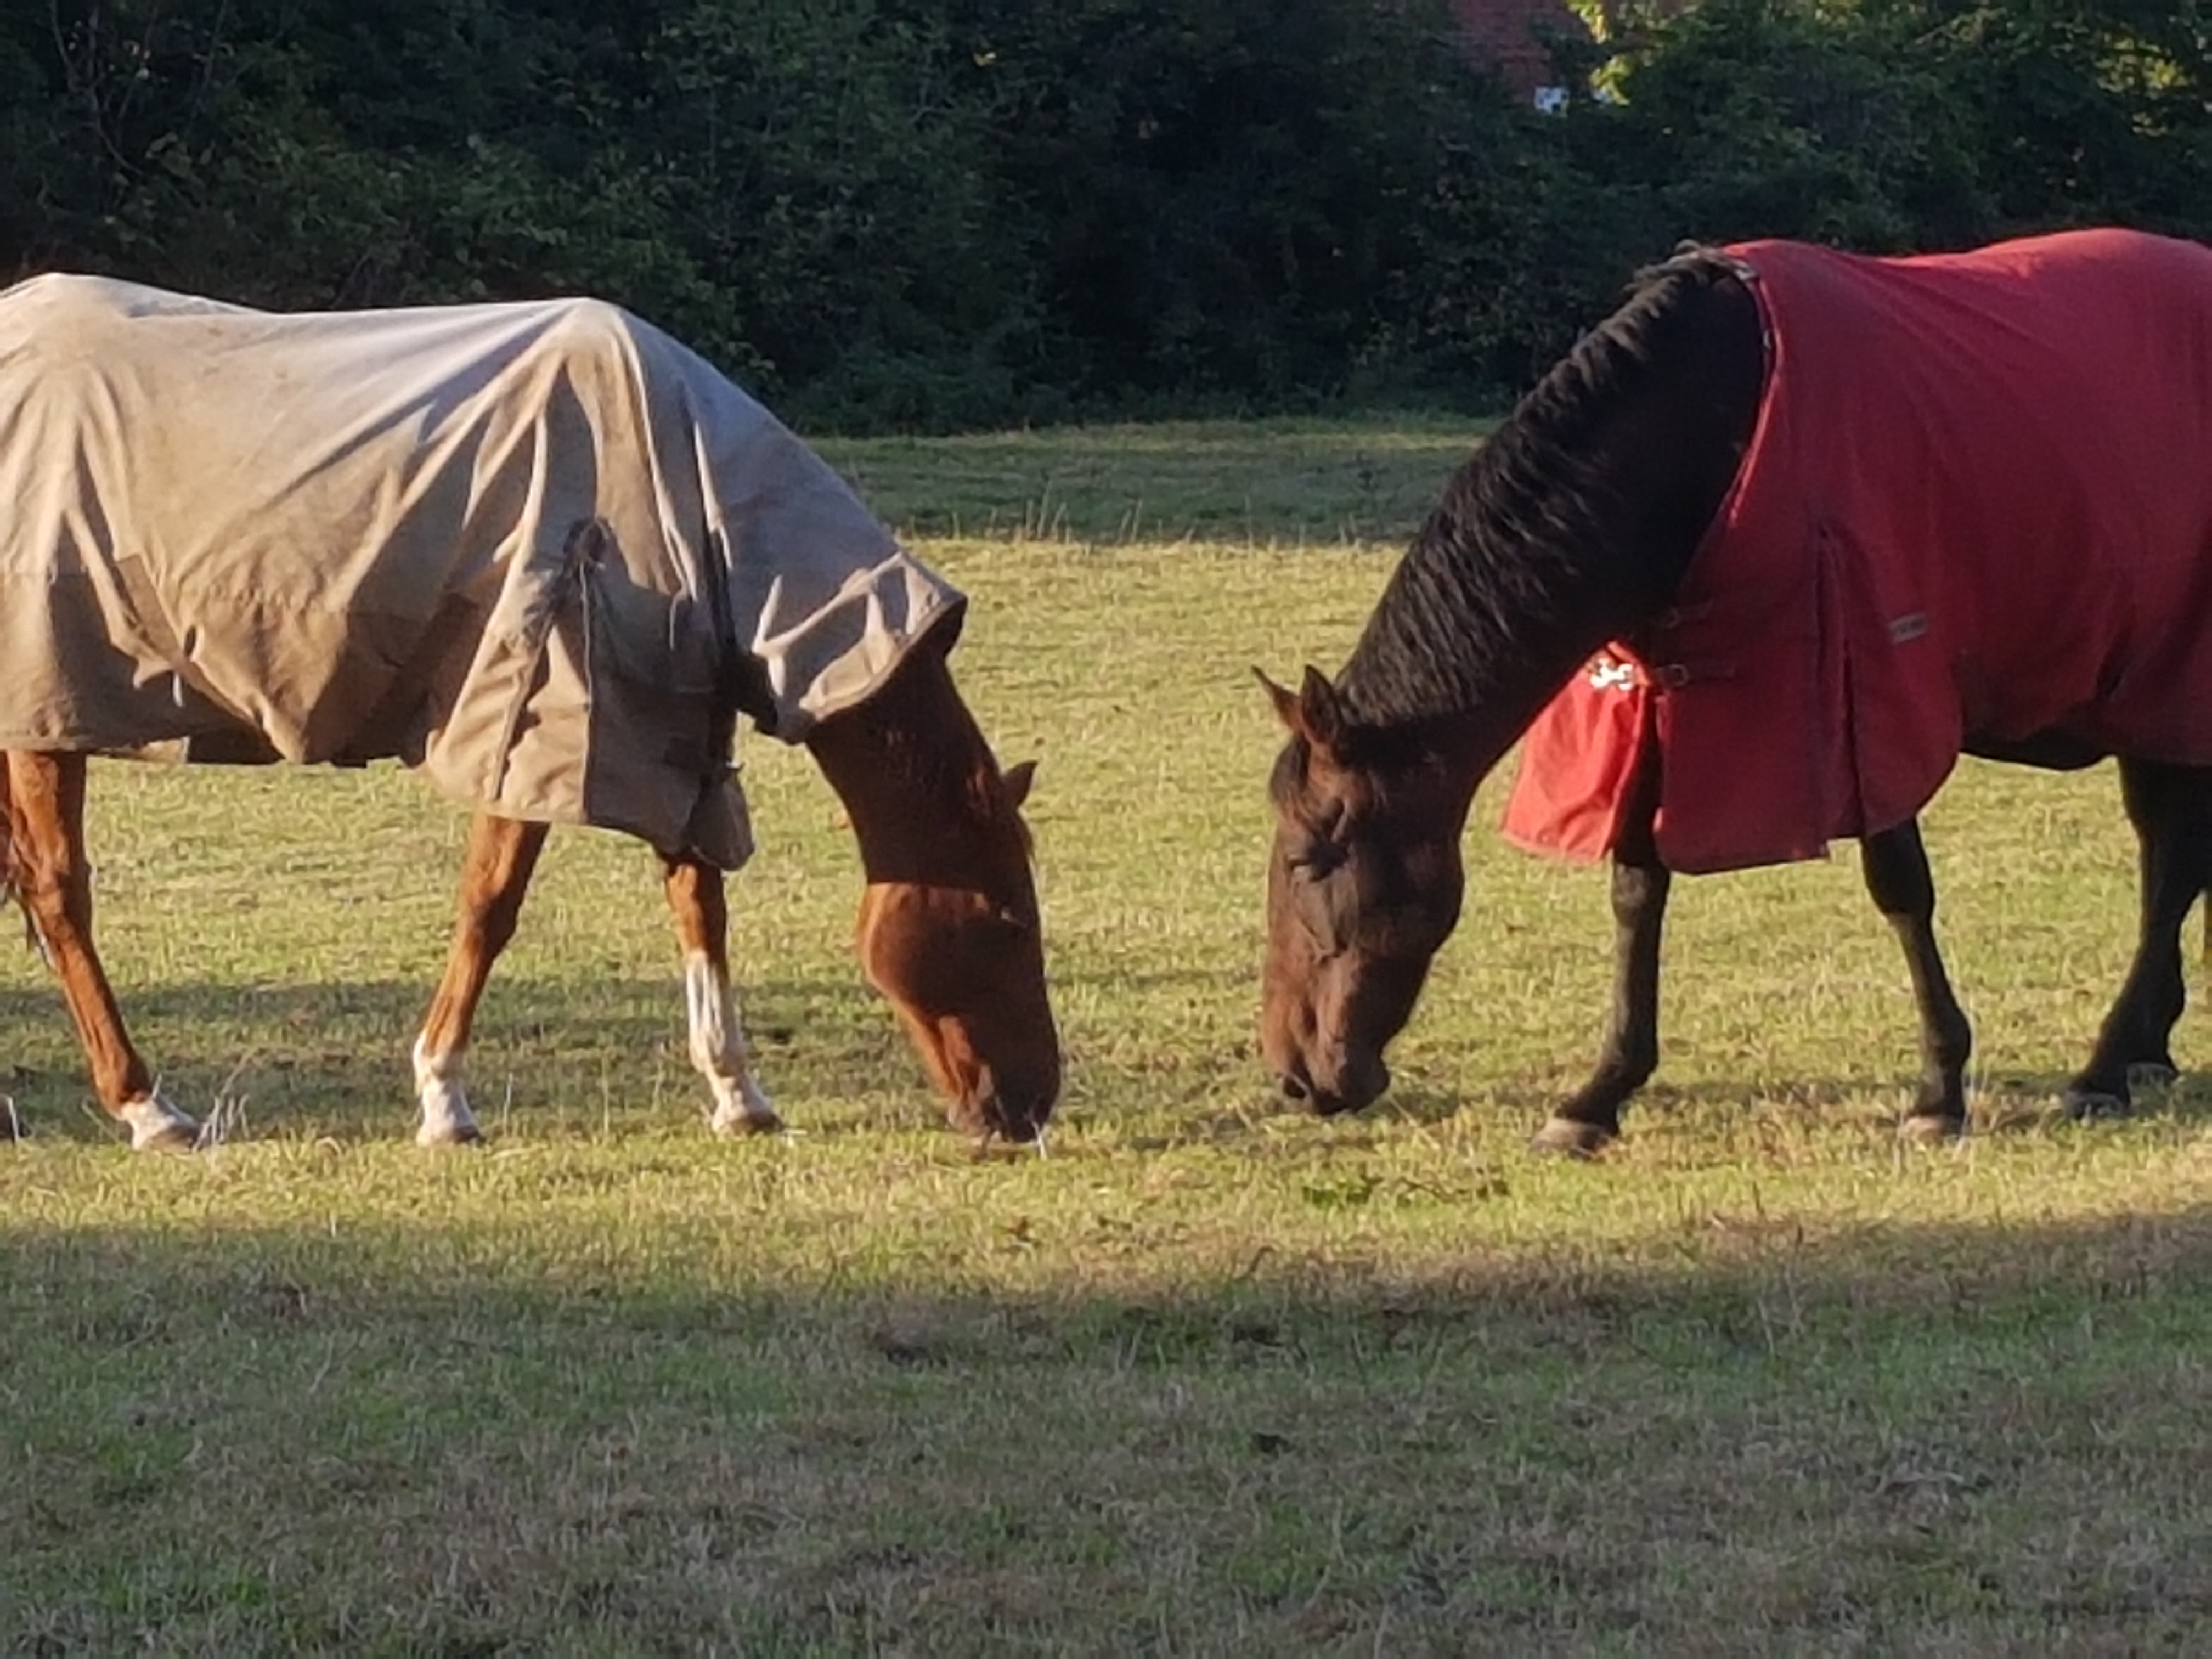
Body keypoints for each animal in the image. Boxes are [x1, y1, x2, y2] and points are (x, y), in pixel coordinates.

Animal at [1265, 228, 2212, 1159]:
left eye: (1309, 858)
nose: (1296, 1074)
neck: (1707, 432)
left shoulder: (1868, 700)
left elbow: (1900, 888)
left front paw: (1939, 1089)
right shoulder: (1657, 705)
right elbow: (1636, 890)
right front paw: (1599, 1094)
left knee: (2173, 870)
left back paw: (2103, 1067)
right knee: (2165, 853)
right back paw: (2144, 1046)